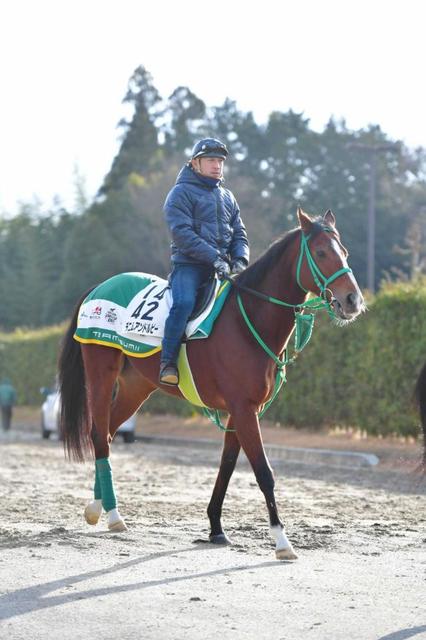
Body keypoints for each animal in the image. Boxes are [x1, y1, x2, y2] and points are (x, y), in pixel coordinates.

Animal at [58, 208, 364, 556]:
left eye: (344, 251)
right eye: (321, 252)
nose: (353, 299)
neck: (247, 320)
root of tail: (99, 288)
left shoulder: (240, 411)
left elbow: (227, 466)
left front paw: (216, 528)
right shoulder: (244, 409)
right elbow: (263, 472)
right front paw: (282, 541)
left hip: (136, 388)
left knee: (107, 435)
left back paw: (99, 507)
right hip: (100, 374)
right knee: (98, 434)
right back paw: (110, 513)